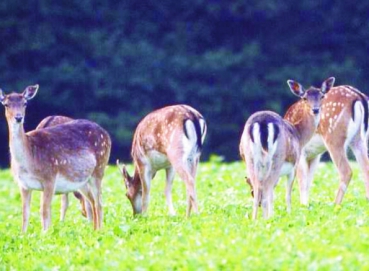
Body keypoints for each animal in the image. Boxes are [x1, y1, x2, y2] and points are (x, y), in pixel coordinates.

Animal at [0, 85, 110, 232]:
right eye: (6, 104)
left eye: (25, 103)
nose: (18, 117)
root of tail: (107, 134)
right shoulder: (23, 184)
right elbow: (25, 214)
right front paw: (24, 235)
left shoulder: (49, 178)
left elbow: (44, 211)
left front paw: (46, 234)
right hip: (81, 180)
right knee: (91, 201)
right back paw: (94, 230)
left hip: (99, 169)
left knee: (99, 203)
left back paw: (99, 232)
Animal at [239, 77, 334, 220]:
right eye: (304, 98)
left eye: (322, 96)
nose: (316, 109)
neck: (299, 135)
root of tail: (262, 123)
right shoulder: (294, 165)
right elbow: (287, 194)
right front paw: (288, 214)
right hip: (276, 158)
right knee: (266, 188)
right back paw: (267, 219)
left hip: (250, 159)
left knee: (258, 189)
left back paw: (255, 219)